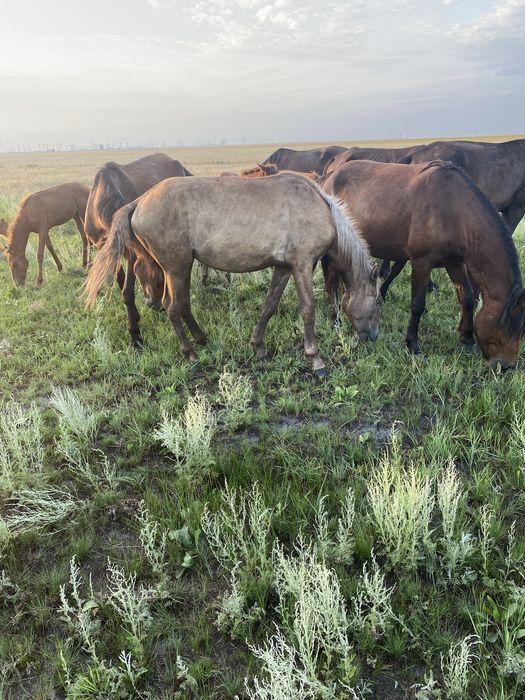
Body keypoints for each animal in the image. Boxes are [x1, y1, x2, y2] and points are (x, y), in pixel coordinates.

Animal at [84, 153, 192, 341]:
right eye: (158, 281)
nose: (157, 307)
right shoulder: (106, 249)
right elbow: (122, 285)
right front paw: (134, 324)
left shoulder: (131, 253)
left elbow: (127, 291)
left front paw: (134, 333)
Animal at [85, 174, 380, 376]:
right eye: (377, 301)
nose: (374, 336)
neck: (320, 209)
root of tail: (139, 201)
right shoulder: (303, 265)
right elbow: (308, 310)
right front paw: (315, 359)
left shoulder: (284, 267)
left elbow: (269, 305)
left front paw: (258, 346)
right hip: (175, 267)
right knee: (172, 307)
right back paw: (190, 352)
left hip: (183, 267)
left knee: (183, 304)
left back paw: (201, 338)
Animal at [322, 160, 525, 368]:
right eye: (511, 326)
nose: (507, 365)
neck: (453, 210)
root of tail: (330, 175)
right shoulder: (422, 262)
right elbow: (417, 305)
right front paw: (413, 344)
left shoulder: (454, 263)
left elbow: (468, 298)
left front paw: (466, 339)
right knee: (333, 283)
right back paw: (336, 318)